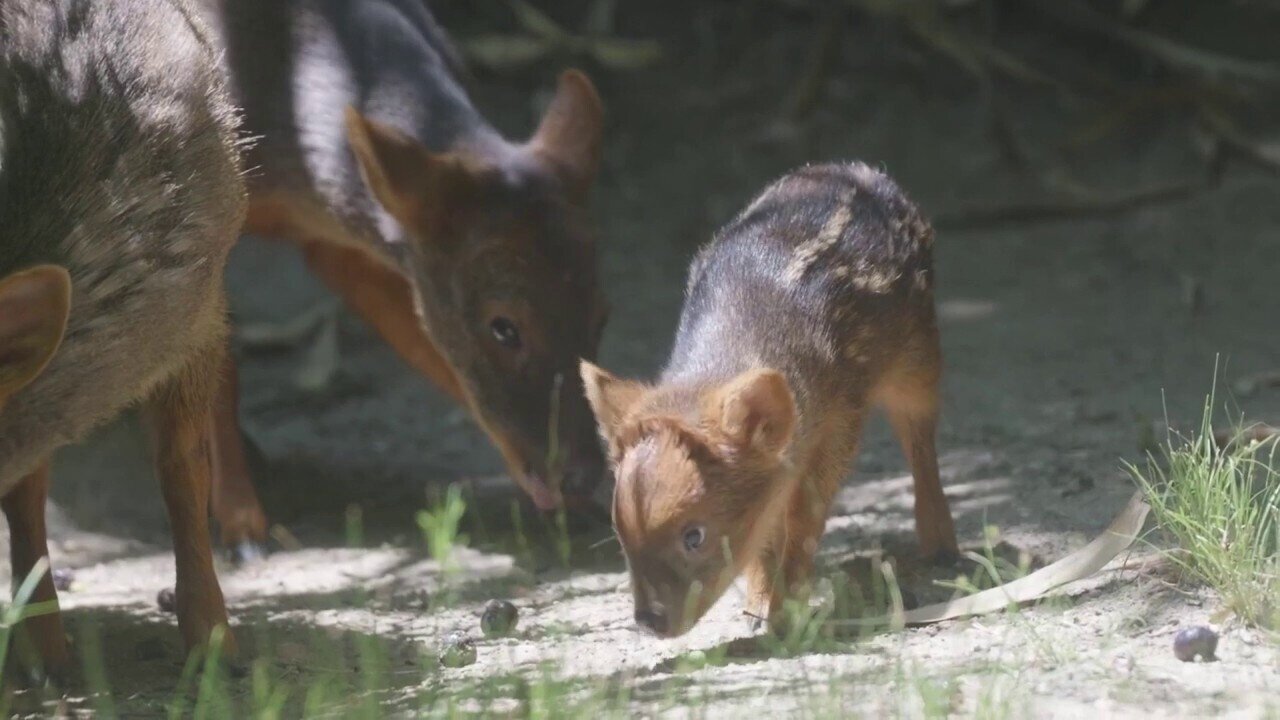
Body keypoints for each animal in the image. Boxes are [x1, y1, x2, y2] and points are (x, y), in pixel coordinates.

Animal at [202, 0, 611, 556]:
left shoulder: (350, 239)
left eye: (602, 317)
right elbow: (221, 369)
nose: (588, 478)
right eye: (504, 328)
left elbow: (429, 350)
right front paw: (240, 523)